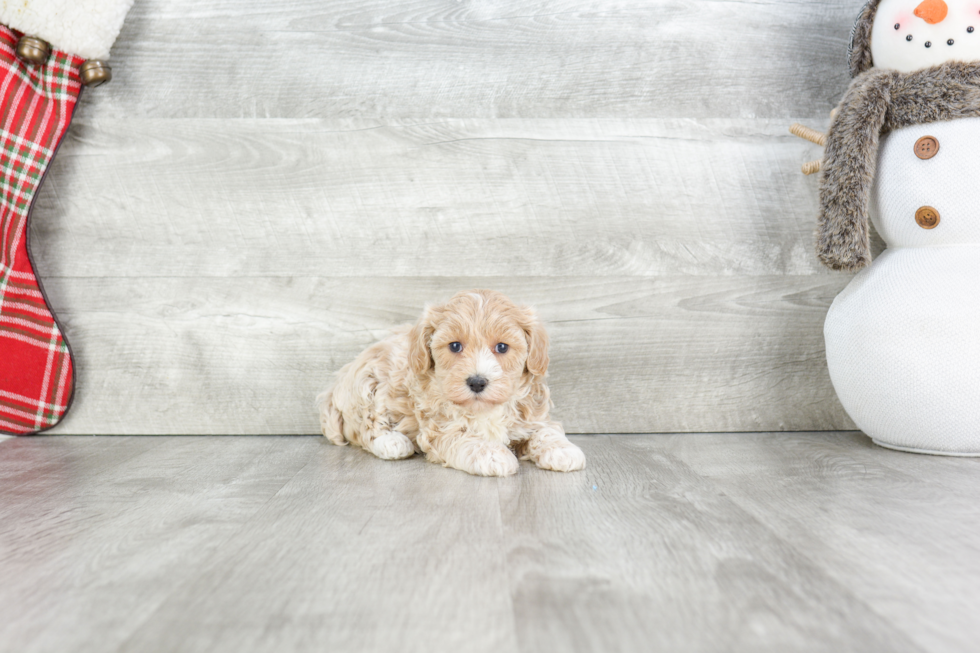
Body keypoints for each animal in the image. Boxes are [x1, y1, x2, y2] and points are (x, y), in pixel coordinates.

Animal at [318, 290, 584, 474]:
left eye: (502, 347)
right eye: (455, 346)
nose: (477, 382)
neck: (485, 409)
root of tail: (334, 387)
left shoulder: (534, 416)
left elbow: (546, 431)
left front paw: (563, 450)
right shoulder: (439, 429)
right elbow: (467, 438)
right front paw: (492, 455)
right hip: (366, 387)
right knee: (367, 426)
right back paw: (392, 442)